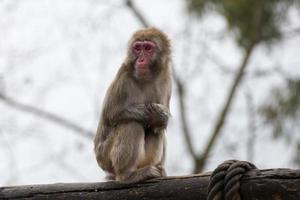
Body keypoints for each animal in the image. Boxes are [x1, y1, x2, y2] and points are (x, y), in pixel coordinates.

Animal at [95, 27, 172, 184]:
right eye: (138, 48)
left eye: (147, 48)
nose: (140, 60)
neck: (147, 77)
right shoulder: (123, 77)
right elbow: (111, 114)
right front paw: (150, 114)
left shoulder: (166, 79)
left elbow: (162, 118)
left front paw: (162, 116)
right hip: (105, 156)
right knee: (131, 123)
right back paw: (127, 175)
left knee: (158, 129)